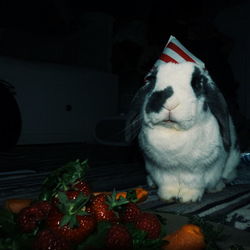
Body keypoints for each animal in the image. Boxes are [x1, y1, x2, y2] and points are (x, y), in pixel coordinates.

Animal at [126, 62, 241, 203]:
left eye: (197, 83)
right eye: (151, 79)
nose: (168, 103)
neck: (174, 133)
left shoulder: (198, 171)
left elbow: (194, 184)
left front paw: (188, 198)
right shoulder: (160, 169)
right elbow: (167, 183)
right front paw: (168, 196)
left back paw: (218, 187)